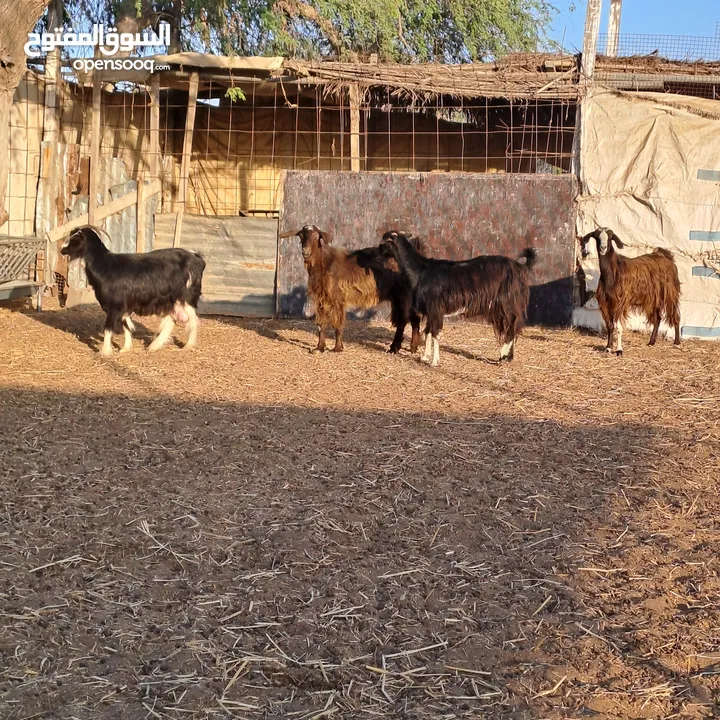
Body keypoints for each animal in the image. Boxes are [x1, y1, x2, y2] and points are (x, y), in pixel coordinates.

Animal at [59, 226, 207, 356]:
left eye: (75, 238)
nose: (61, 250)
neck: (104, 265)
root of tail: (196, 258)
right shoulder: (123, 305)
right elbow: (127, 326)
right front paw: (125, 348)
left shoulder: (116, 304)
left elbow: (109, 327)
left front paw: (105, 352)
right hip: (171, 300)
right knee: (172, 319)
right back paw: (154, 346)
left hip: (186, 297)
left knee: (194, 320)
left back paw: (188, 346)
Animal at [282, 222, 422, 352]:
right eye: (301, 236)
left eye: (317, 237)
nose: (305, 251)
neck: (324, 262)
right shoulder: (321, 298)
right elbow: (321, 324)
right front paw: (320, 347)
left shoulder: (337, 298)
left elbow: (338, 324)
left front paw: (338, 348)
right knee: (414, 319)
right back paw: (413, 347)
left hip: (403, 296)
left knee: (403, 321)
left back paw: (394, 348)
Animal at [380, 232, 536, 366]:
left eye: (386, 241)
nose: (378, 250)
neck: (421, 270)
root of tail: (520, 267)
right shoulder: (430, 311)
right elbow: (428, 332)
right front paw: (425, 357)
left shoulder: (436, 309)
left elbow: (436, 334)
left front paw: (434, 362)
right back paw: (506, 357)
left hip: (506, 304)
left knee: (510, 328)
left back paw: (503, 357)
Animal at [580, 226, 680, 356]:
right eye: (597, 237)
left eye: (610, 237)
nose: (603, 248)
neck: (614, 271)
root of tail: (666, 257)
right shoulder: (605, 303)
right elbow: (610, 326)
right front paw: (608, 347)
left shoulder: (620, 302)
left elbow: (618, 327)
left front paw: (619, 350)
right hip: (653, 298)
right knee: (658, 318)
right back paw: (651, 342)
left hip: (670, 292)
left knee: (675, 315)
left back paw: (677, 342)